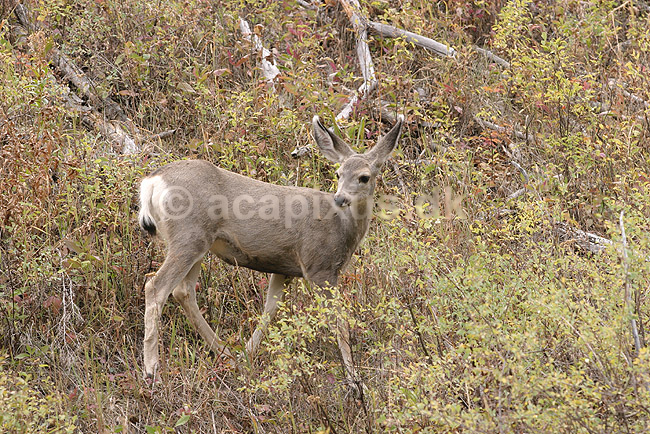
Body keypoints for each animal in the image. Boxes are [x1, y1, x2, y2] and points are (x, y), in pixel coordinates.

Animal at [138, 114, 404, 396]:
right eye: (338, 173)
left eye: (364, 177)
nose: (340, 198)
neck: (343, 227)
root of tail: (151, 182)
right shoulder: (320, 266)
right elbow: (339, 321)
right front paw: (355, 381)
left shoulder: (284, 268)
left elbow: (270, 309)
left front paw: (247, 355)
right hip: (189, 236)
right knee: (156, 287)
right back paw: (152, 372)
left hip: (196, 243)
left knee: (183, 291)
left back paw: (225, 353)